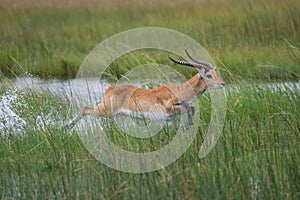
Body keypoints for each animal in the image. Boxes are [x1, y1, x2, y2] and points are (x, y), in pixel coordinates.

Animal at [66, 49, 225, 129]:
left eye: (215, 73)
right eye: (209, 75)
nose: (222, 83)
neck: (179, 91)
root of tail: (110, 88)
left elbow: (192, 108)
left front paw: (187, 126)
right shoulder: (169, 109)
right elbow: (190, 108)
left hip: (118, 114)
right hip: (104, 110)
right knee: (85, 108)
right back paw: (67, 126)